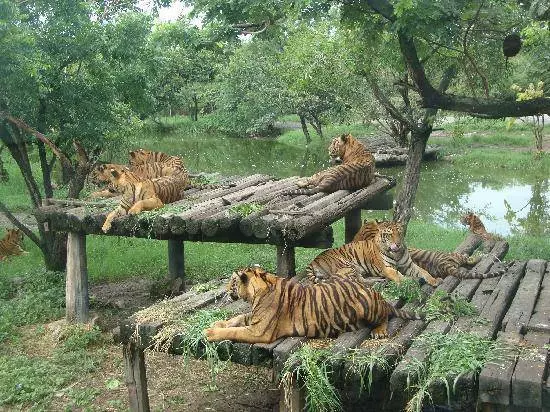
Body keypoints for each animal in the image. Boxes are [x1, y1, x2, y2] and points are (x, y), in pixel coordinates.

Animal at [205, 264, 424, 344]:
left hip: (369, 307)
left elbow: (234, 331)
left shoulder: (259, 332)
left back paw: (379, 330)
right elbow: (237, 318)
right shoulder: (254, 318)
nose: (226, 289)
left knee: (385, 316)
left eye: (232, 281)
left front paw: (210, 332)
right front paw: (217, 323)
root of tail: (377, 295)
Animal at [304, 220, 442, 284]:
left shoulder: (409, 265)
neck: (396, 253)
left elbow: (424, 272)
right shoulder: (387, 268)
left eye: (400, 233)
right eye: (389, 235)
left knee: (361, 279)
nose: (398, 244)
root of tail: (313, 261)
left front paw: (435, 281)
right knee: (353, 281)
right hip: (347, 265)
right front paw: (411, 280)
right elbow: (399, 276)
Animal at [356, 219, 512, 280]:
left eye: (399, 233)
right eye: (390, 234)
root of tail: (445, 265)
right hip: (455, 255)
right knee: (470, 258)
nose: (398, 244)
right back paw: (481, 255)